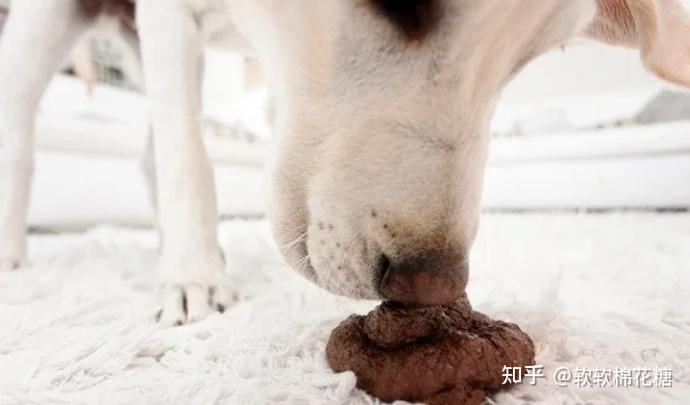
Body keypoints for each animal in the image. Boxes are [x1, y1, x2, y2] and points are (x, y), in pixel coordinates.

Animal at [1, 0, 688, 326]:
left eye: (527, 56)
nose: (431, 287)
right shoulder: (170, 16)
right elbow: (188, 160)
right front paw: (194, 279)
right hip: (44, 24)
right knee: (23, 133)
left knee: (149, 150)